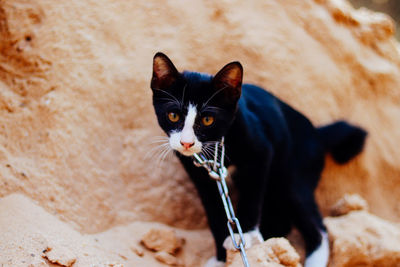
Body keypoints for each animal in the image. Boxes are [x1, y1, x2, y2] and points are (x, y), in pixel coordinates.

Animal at [149, 52, 366, 267]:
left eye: (207, 120)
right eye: (173, 115)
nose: (186, 143)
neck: (218, 149)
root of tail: (317, 134)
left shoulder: (261, 152)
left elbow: (251, 197)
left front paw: (246, 235)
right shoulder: (201, 176)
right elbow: (215, 214)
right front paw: (221, 258)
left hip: (291, 176)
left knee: (318, 228)